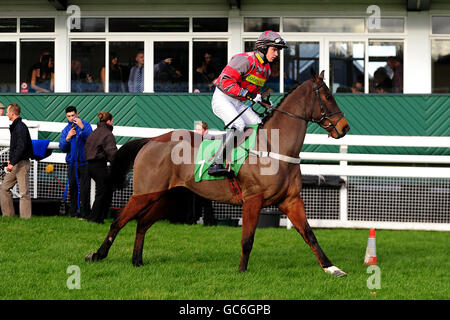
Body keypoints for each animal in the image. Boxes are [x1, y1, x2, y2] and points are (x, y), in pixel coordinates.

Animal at [85, 70, 352, 278]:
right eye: (327, 96)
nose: (344, 127)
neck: (274, 147)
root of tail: (151, 140)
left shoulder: (291, 200)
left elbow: (309, 234)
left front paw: (331, 268)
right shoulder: (252, 200)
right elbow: (247, 238)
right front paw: (242, 271)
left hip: (170, 198)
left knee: (142, 223)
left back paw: (137, 260)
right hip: (145, 193)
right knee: (119, 221)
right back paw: (97, 254)